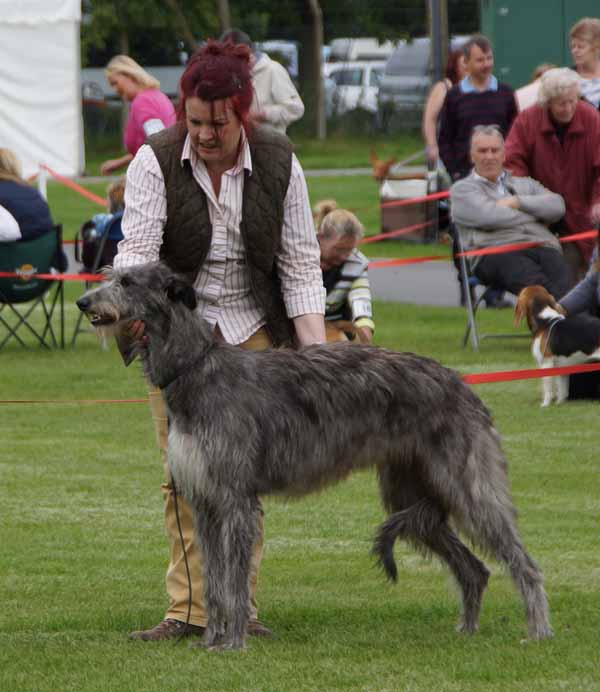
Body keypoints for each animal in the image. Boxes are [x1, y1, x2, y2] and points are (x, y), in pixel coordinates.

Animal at [77, 262, 552, 652]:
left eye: (127, 282)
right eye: (112, 275)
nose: (83, 302)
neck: (196, 369)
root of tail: (463, 385)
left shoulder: (235, 500)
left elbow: (234, 583)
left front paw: (232, 643)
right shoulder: (204, 501)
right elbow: (211, 582)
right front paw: (210, 639)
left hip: (467, 485)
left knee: (524, 562)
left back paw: (538, 631)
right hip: (410, 494)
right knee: (475, 569)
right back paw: (467, 630)